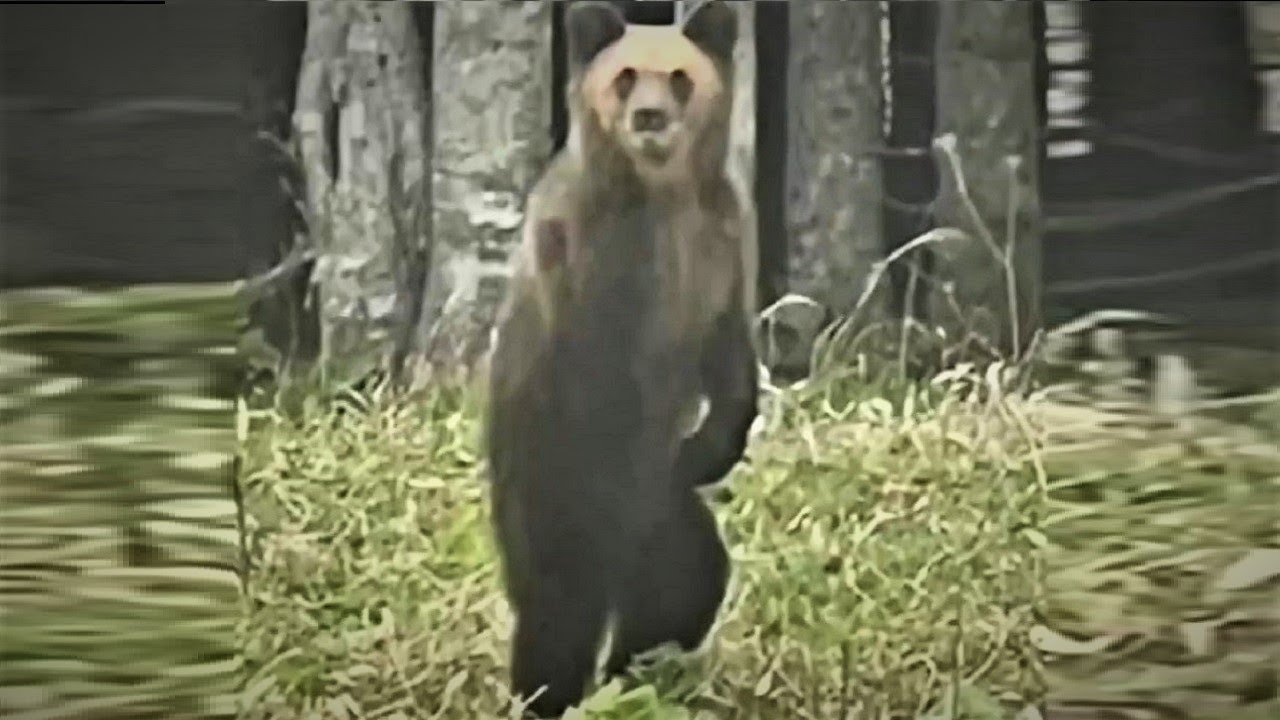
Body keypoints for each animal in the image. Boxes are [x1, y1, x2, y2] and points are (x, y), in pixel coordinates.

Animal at [483, 2, 752, 712]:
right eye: (625, 75)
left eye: (680, 76)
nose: (650, 118)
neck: (663, 200)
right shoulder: (595, 273)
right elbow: (610, 379)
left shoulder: (720, 247)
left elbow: (730, 363)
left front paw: (708, 447)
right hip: (540, 477)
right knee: (558, 607)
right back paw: (553, 691)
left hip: (668, 530)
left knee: (686, 579)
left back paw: (638, 669)